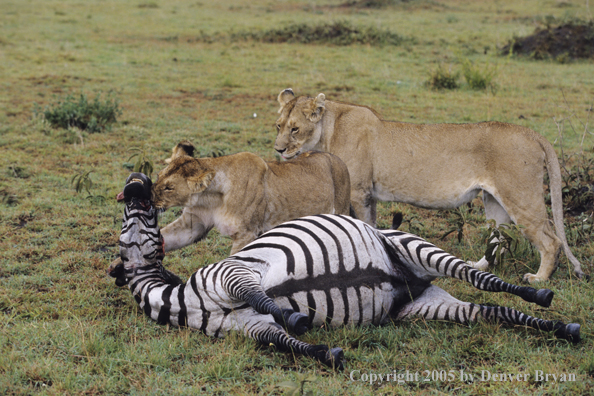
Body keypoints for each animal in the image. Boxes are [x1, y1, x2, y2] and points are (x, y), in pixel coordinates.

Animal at [151, 142, 352, 254]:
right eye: (158, 176)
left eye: (169, 188)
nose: (149, 198)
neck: (209, 198)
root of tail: (335, 157)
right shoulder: (193, 224)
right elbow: (168, 237)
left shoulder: (246, 234)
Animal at [272, 88, 584, 284]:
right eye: (278, 125)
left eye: (295, 129)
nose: (278, 150)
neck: (328, 129)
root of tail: (532, 133)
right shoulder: (368, 196)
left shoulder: (360, 193)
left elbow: (362, 228)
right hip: (495, 201)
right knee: (497, 238)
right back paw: (477, 267)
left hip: (521, 196)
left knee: (551, 240)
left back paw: (539, 279)